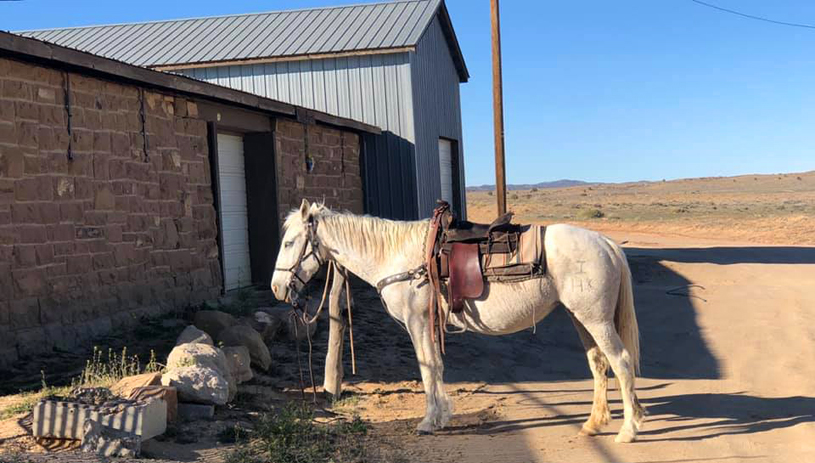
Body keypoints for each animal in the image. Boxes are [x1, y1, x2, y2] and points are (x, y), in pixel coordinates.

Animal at [270, 201, 648, 444]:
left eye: (289, 242)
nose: (277, 288)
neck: (398, 256)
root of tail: (606, 243)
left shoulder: (417, 322)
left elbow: (427, 368)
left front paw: (428, 421)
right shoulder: (426, 324)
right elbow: (436, 367)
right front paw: (440, 417)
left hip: (596, 319)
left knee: (621, 362)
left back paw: (628, 430)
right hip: (582, 318)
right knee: (599, 365)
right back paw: (593, 424)